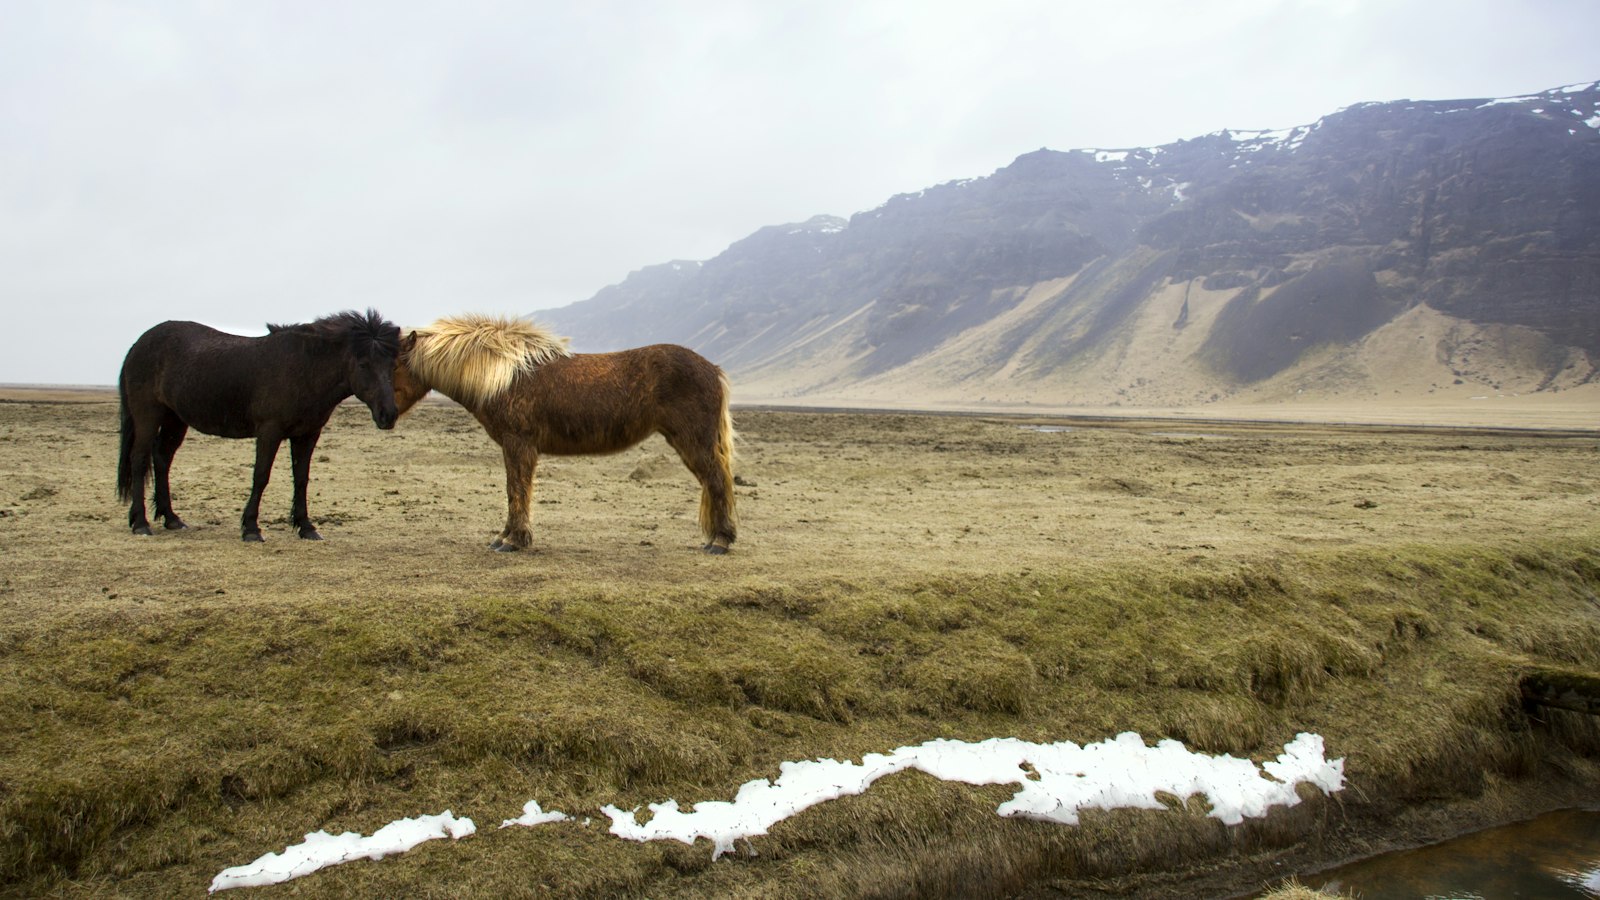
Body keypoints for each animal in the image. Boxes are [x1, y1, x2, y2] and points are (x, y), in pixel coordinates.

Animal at [117, 309, 402, 542]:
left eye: (392, 365)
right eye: (364, 364)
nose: (388, 415)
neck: (304, 369)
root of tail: (138, 344)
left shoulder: (307, 434)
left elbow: (302, 478)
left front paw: (306, 527)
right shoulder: (269, 432)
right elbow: (261, 476)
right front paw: (251, 528)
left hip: (175, 419)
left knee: (162, 458)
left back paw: (171, 518)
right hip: (148, 415)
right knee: (140, 459)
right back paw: (141, 523)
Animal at [391, 314, 738, 554]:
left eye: (394, 366)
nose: (385, 417)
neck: (505, 377)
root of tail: (713, 369)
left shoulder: (519, 444)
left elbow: (517, 489)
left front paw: (514, 540)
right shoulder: (514, 447)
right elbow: (513, 490)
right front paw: (505, 536)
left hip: (694, 441)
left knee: (716, 480)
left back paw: (720, 541)